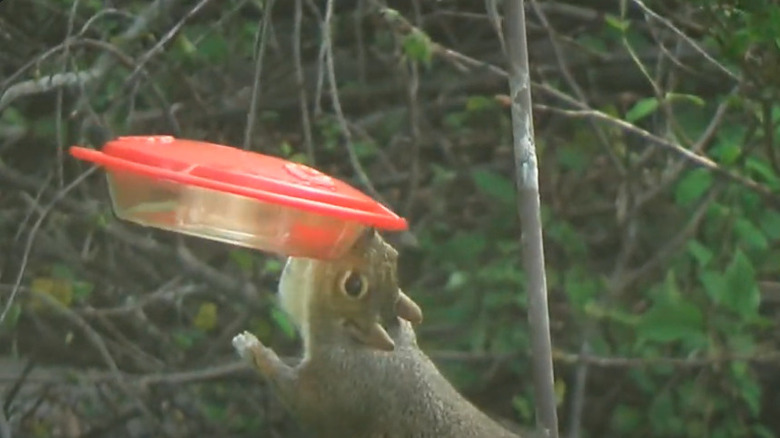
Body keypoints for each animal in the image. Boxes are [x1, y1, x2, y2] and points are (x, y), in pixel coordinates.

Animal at [233, 228, 524, 436]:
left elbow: (301, 401)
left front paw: (253, 349)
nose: (367, 230)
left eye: (353, 285)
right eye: (393, 253)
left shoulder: (341, 387)